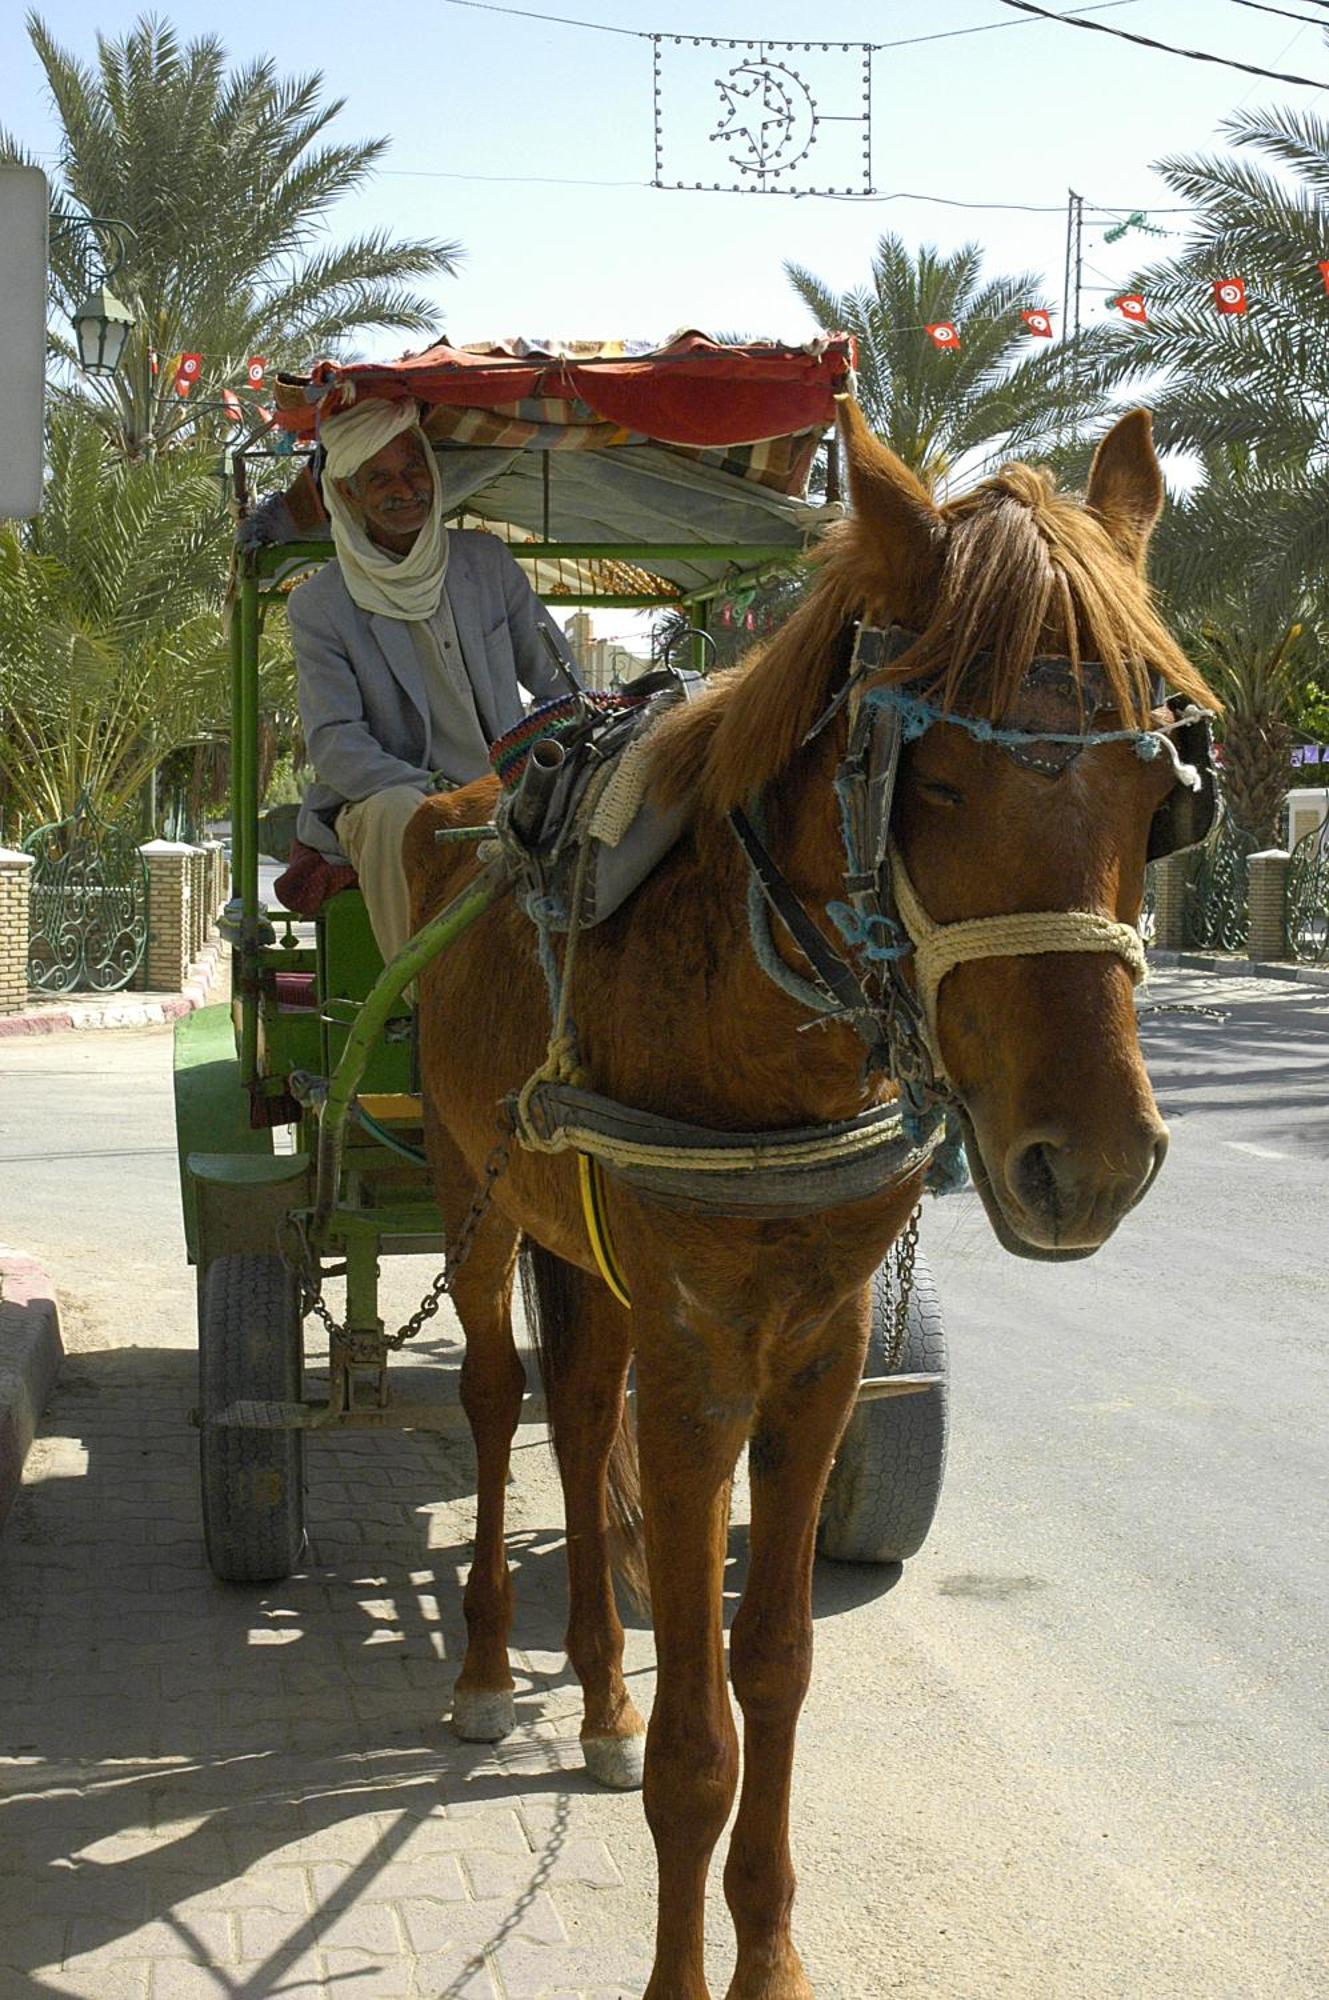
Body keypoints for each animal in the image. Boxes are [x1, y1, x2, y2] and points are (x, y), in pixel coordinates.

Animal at [402, 410, 1216, 2000]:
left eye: (1162, 801)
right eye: (935, 782)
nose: (1091, 1162)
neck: (760, 993)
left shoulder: (822, 1347)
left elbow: (772, 1668)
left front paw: (768, 1955)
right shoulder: (701, 1362)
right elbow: (699, 1740)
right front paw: (681, 1967)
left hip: (586, 1247)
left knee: (577, 1410)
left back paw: (593, 1689)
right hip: (477, 1190)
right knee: (496, 1399)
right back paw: (480, 1670)